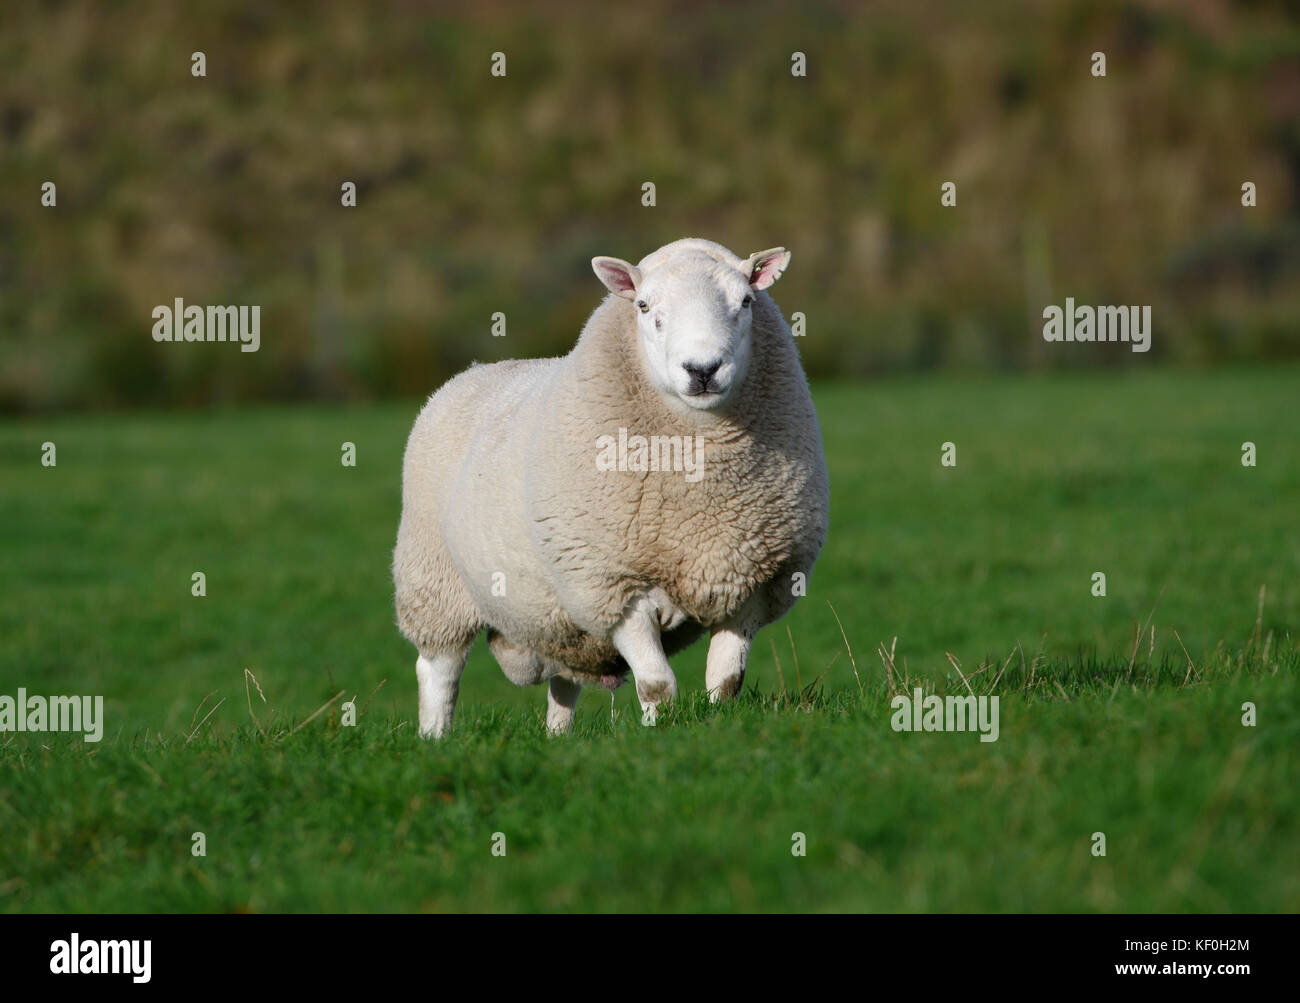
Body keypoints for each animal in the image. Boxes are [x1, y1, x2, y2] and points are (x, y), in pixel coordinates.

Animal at [390, 236, 826, 737]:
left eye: (747, 302)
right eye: (643, 306)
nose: (702, 369)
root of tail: (476, 370)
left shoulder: (750, 584)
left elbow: (726, 682)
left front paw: (717, 724)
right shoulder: (614, 587)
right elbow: (656, 684)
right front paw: (658, 731)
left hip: (560, 621)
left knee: (563, 684)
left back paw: (557, 737)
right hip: (435, 581)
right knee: (439, 670)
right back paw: (434, 737)